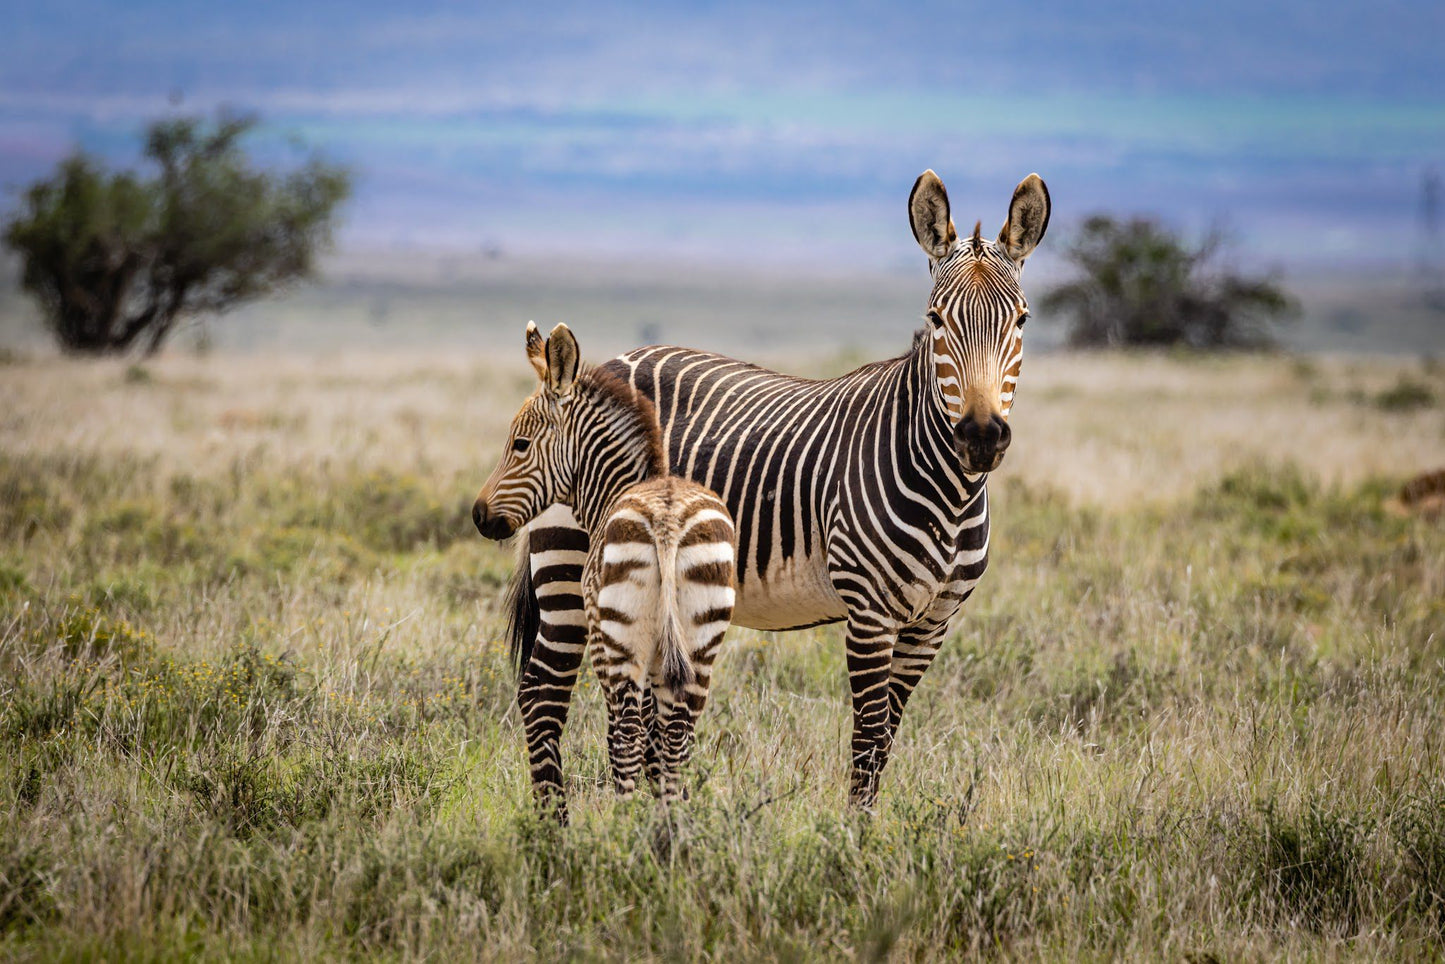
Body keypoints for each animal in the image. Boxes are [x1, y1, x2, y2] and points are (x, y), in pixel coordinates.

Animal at [479, 320, 739, 803]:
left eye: (519, 444)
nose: (477, 515)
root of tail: (666, 523)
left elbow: (629, 734)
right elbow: (662, 737)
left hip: (616, 638)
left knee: (625, 731)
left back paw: (622, 816)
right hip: (703, 635)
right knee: (679, 733)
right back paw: (671, 817)